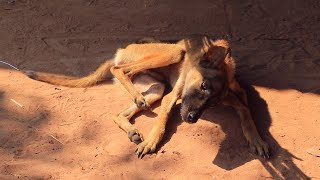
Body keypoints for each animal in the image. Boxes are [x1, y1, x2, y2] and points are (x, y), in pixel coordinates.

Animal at [22, 35, 268, 158]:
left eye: (212, 104)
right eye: (203, 85)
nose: (191, 119)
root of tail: (122, 50)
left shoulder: (234, 97)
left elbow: (246, 111)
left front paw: (257, 139)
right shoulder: (172, 98)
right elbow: (161, 122)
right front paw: (151, 142)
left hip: (156, 88)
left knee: (118, 112)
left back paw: (132, 127)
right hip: (172, 53)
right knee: (119, 70)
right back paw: (135, 98)